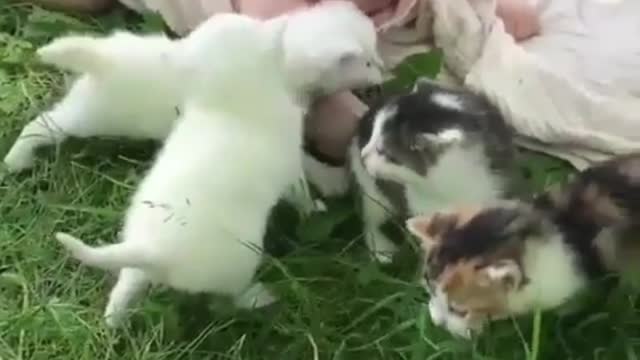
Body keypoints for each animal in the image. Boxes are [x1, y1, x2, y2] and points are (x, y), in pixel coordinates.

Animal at [350, 76, 516, 262]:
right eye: (373, 133)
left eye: (386, 153)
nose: (364, 155)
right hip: (370, 188)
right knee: (371, 217)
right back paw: (381, 250)